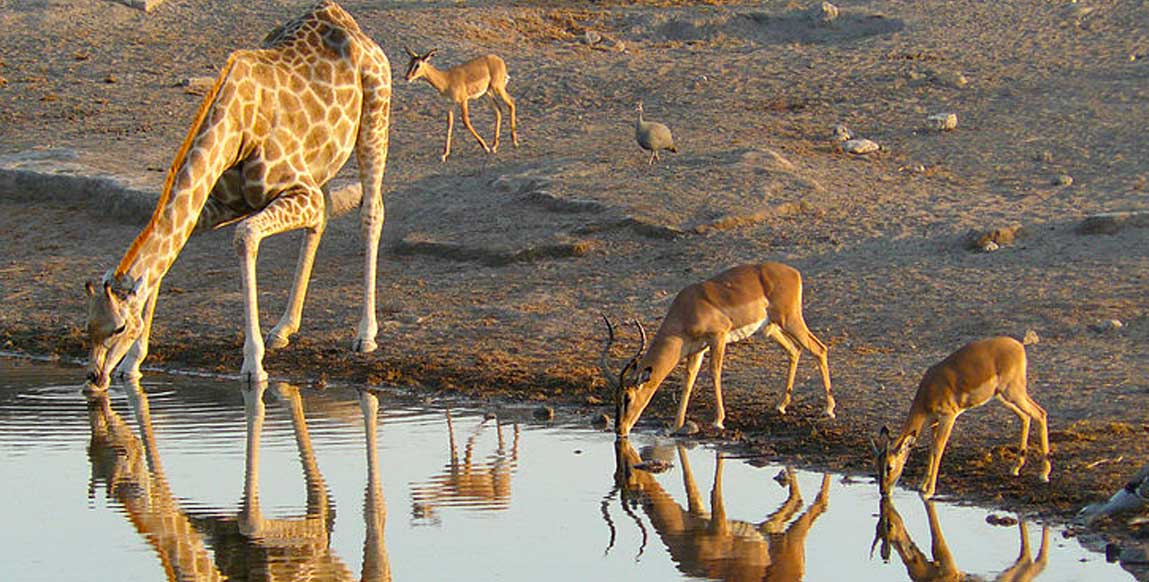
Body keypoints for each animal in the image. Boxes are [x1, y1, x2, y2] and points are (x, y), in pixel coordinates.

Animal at [83, 1, 392, 392]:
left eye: (119, 327)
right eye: (88, 326)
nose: (94, 377)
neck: (234, 131)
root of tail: (341, 16)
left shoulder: (295, 190)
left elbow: (244, 237)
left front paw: (252, 367)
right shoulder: (220, 203)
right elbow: (167, 256)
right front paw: (133, 364)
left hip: (375, 117)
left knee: (372, 212)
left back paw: (365, 334)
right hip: (320, 163)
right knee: (322, 217)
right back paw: (283, 328)